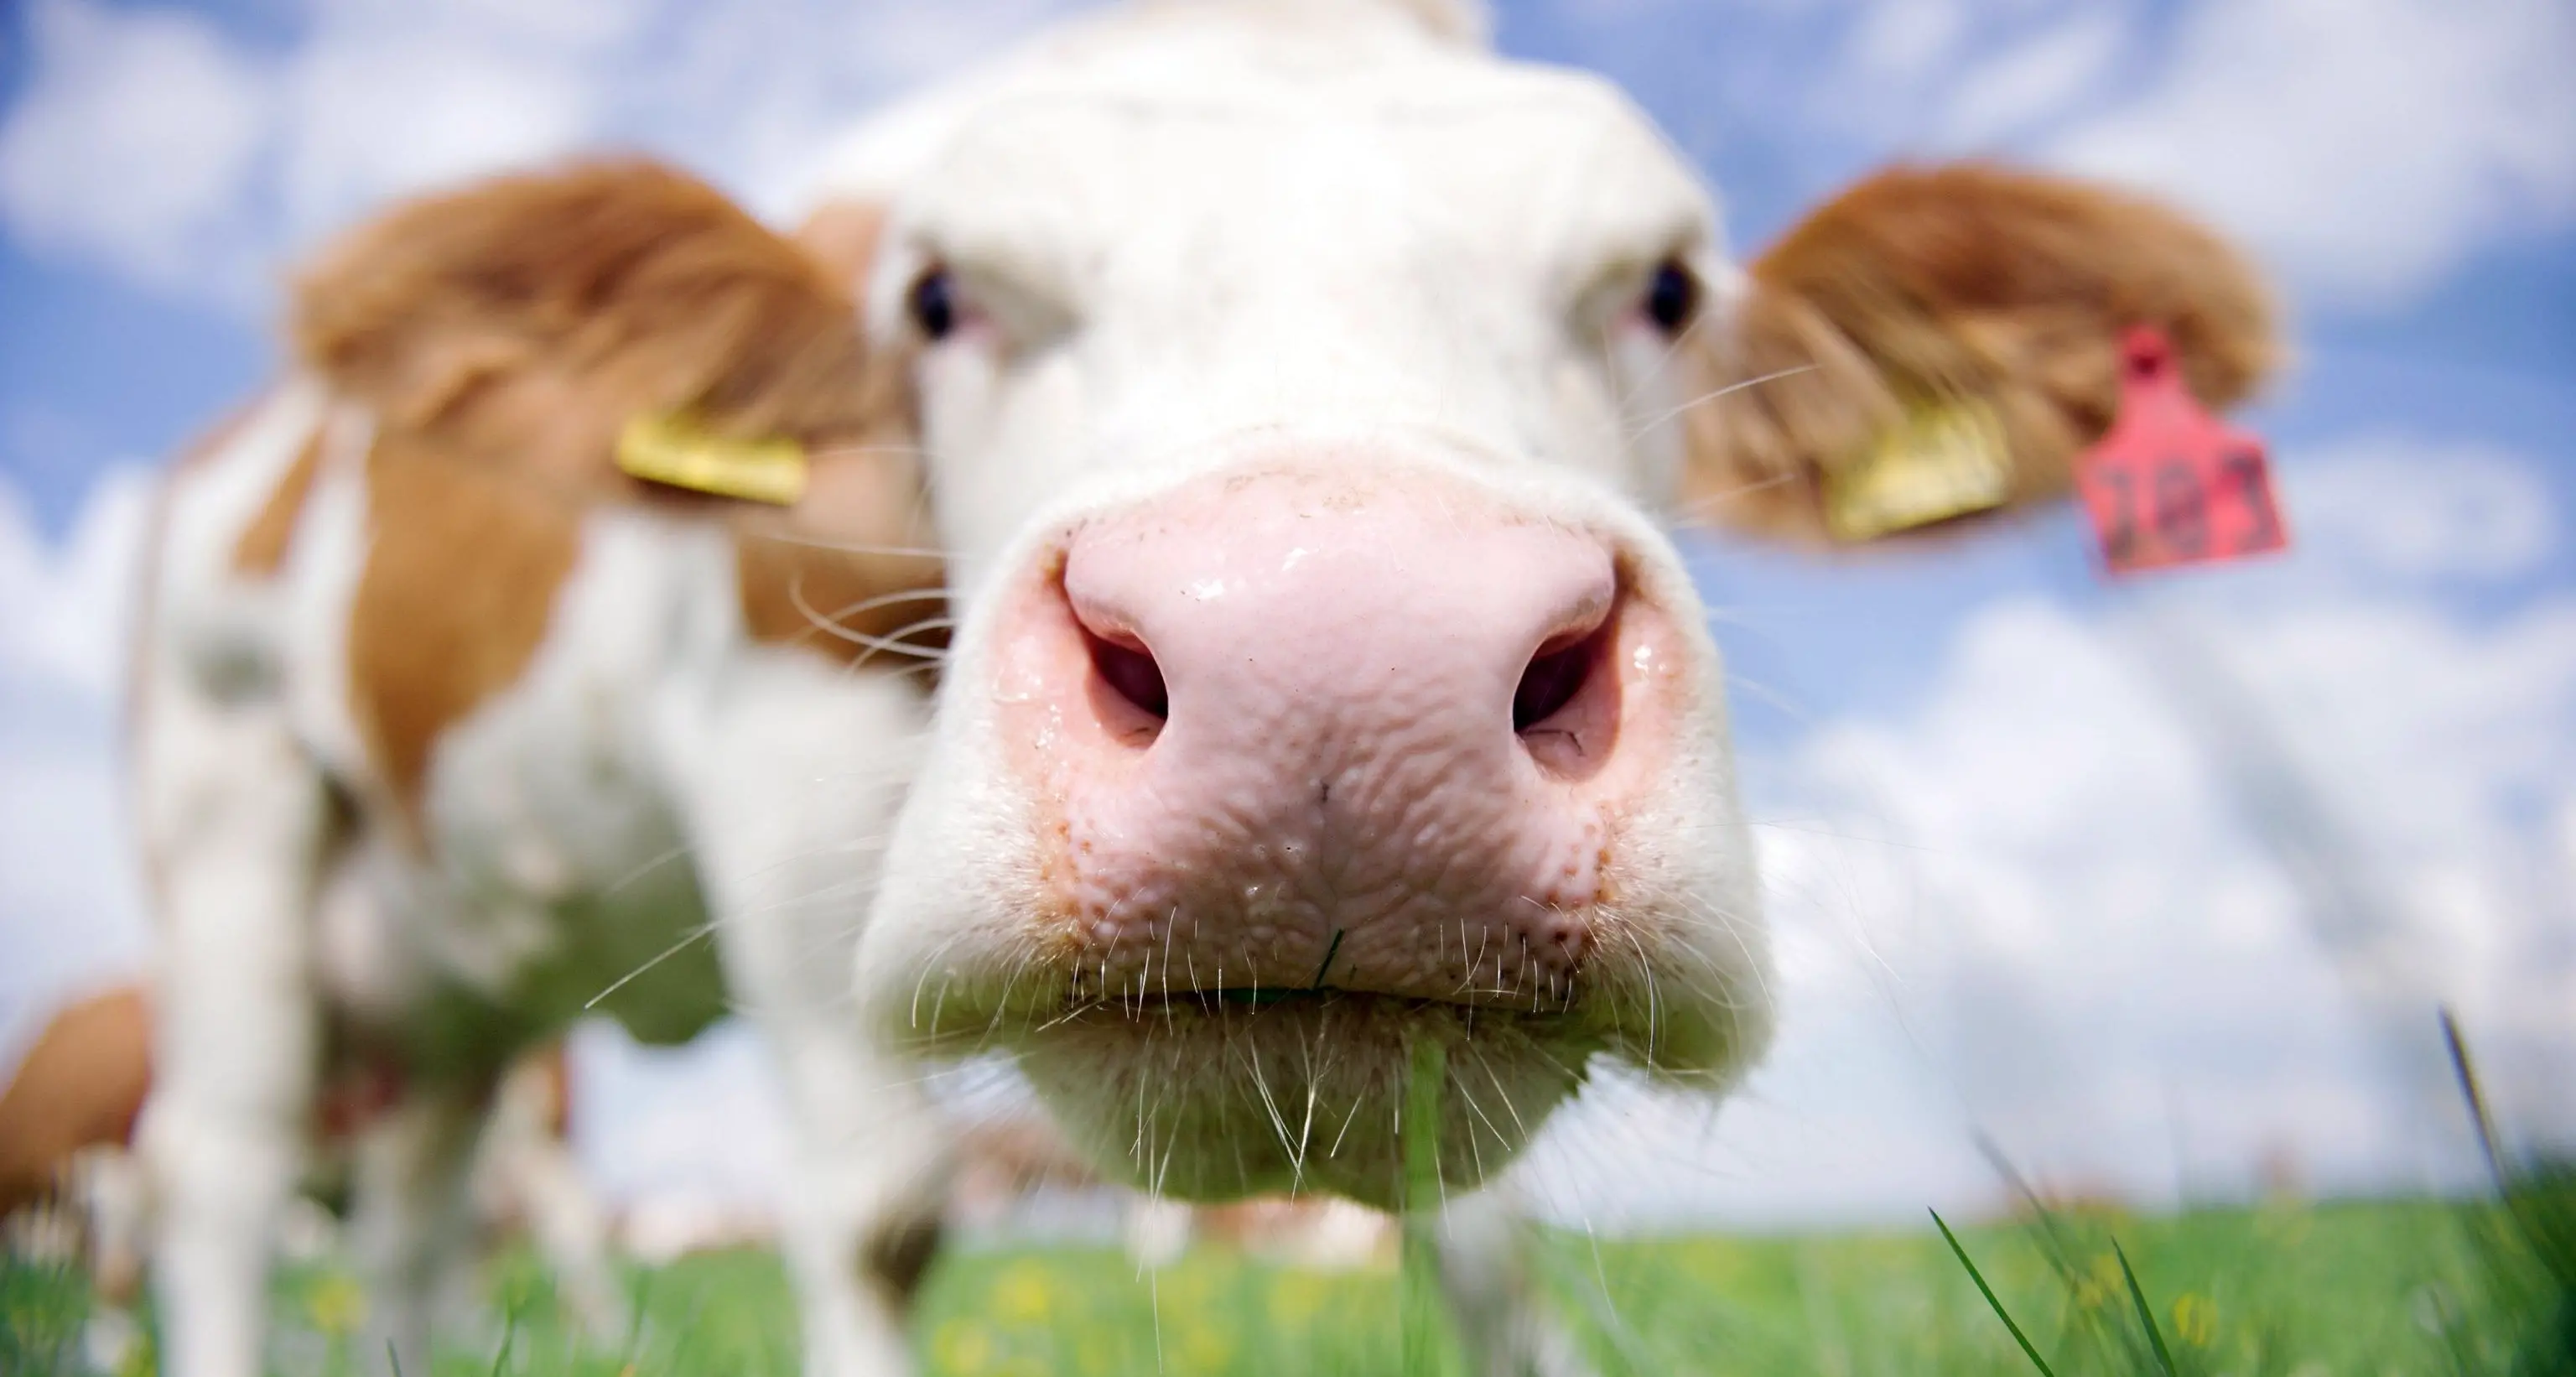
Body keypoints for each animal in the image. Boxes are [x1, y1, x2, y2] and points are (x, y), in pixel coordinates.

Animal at [128, 1, 2275, 1375]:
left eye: (1664, 288)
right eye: (936, 296)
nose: (1339, 664)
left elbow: (1481, 1239)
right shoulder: (776, 764)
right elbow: (879, 1209)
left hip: (458, 984)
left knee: (417, 1215)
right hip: (223, 796)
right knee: (220, 1175)